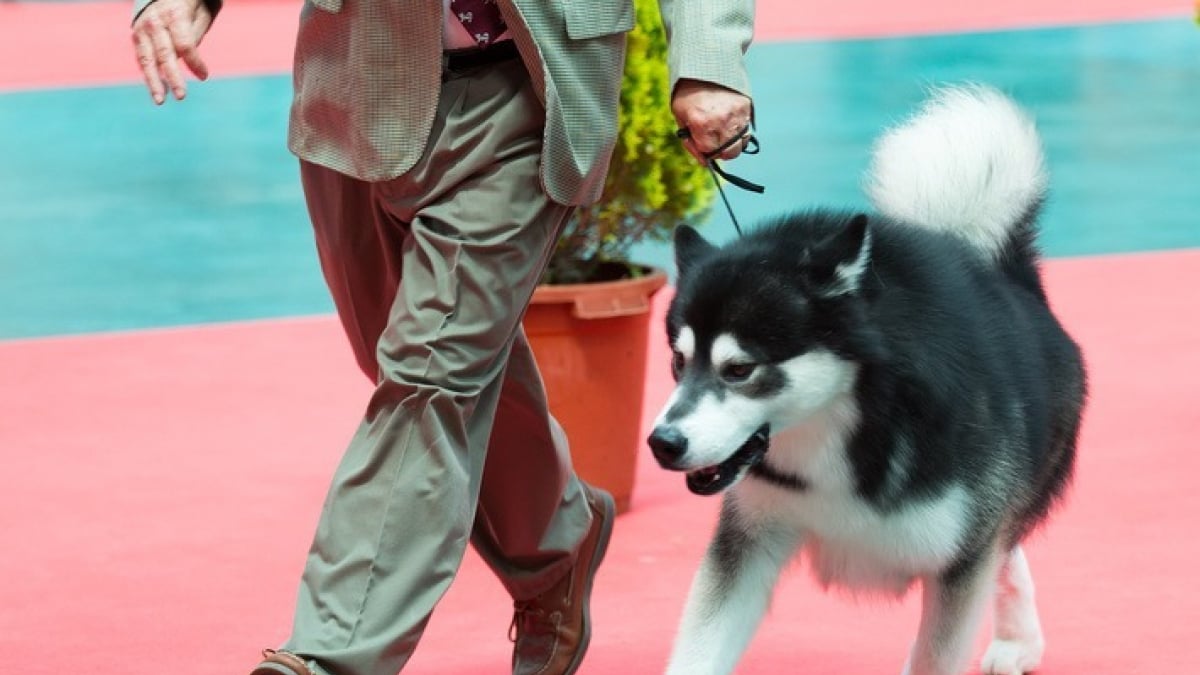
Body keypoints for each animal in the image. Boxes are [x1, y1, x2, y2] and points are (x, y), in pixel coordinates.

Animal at [648, 85, 1089, 672]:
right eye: (678, 361)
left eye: (739, 369)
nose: (662, 443)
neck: (854, 416)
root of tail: (1003, 272)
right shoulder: (748, 539)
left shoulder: (960, 558)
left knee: (1005, 542)